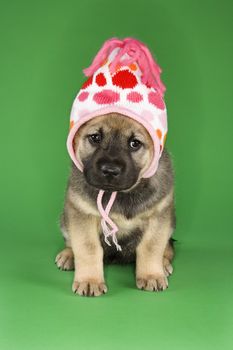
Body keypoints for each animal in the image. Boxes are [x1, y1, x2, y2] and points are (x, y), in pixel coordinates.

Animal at [55, 37, 175, 296]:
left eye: (134, 143)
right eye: (95, 137)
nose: (110, 170)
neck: (118, 194)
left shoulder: (159, 215)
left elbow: (151, 247)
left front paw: (151, 274)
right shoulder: (80, 214)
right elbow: (87, 248)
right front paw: (89, 280)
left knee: (168, 247)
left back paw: (164, 263)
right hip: (65, 218)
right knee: (70, 240)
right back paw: (68, 256)